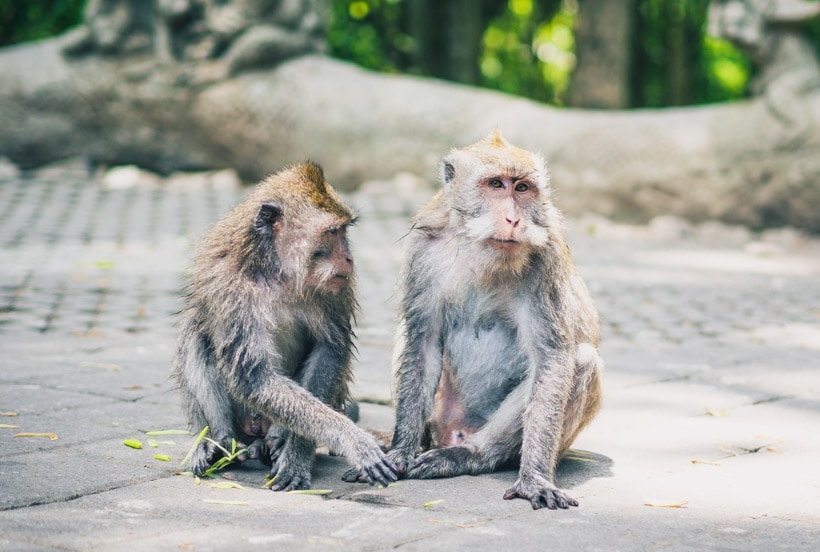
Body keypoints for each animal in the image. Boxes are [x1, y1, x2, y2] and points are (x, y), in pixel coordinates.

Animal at [175, 162, 398, 490]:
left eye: (344, 231)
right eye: (333, 232)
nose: (349, 258)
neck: (279, 273)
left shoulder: (337, 289)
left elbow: (328, 350)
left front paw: (296, 455)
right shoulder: (229, 286)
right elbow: (254, 378)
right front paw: (354, 441)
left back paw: (275, 443)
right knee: (195, 331)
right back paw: (218, 441)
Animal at [342, 132, 604, 512]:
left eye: (522, 188)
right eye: (496, 185)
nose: (513, 220)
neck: (480, 249)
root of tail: (451, 432)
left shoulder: (547, 256)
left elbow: (552, 357)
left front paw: (535, 478)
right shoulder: (423, 251)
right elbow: (422, 341)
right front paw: (401, 452)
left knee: (581, 360)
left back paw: (470, 455)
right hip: (440, 413)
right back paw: (416, 442)